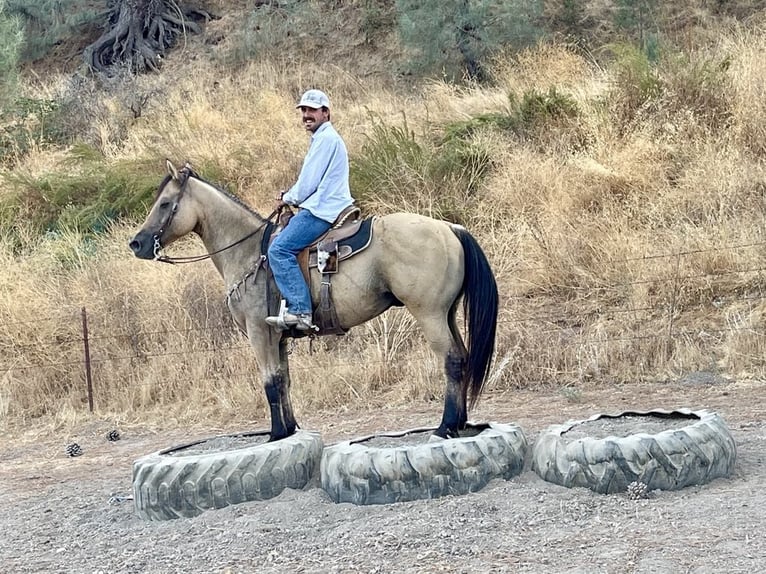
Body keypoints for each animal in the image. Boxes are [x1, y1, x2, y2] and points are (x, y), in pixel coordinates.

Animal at [129, 161, 499, 441]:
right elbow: (284, 380)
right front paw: (291, 430)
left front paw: (276, 435)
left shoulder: (258, 333)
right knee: (462, 356)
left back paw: (445, 427)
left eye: (165, 204)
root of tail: (449, 228)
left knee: (452, 360)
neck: (248, 251)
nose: (137, 243)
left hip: (429, 314)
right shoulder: (276, 336)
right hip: (447, 313)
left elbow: (269, 382)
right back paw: (461, 423)